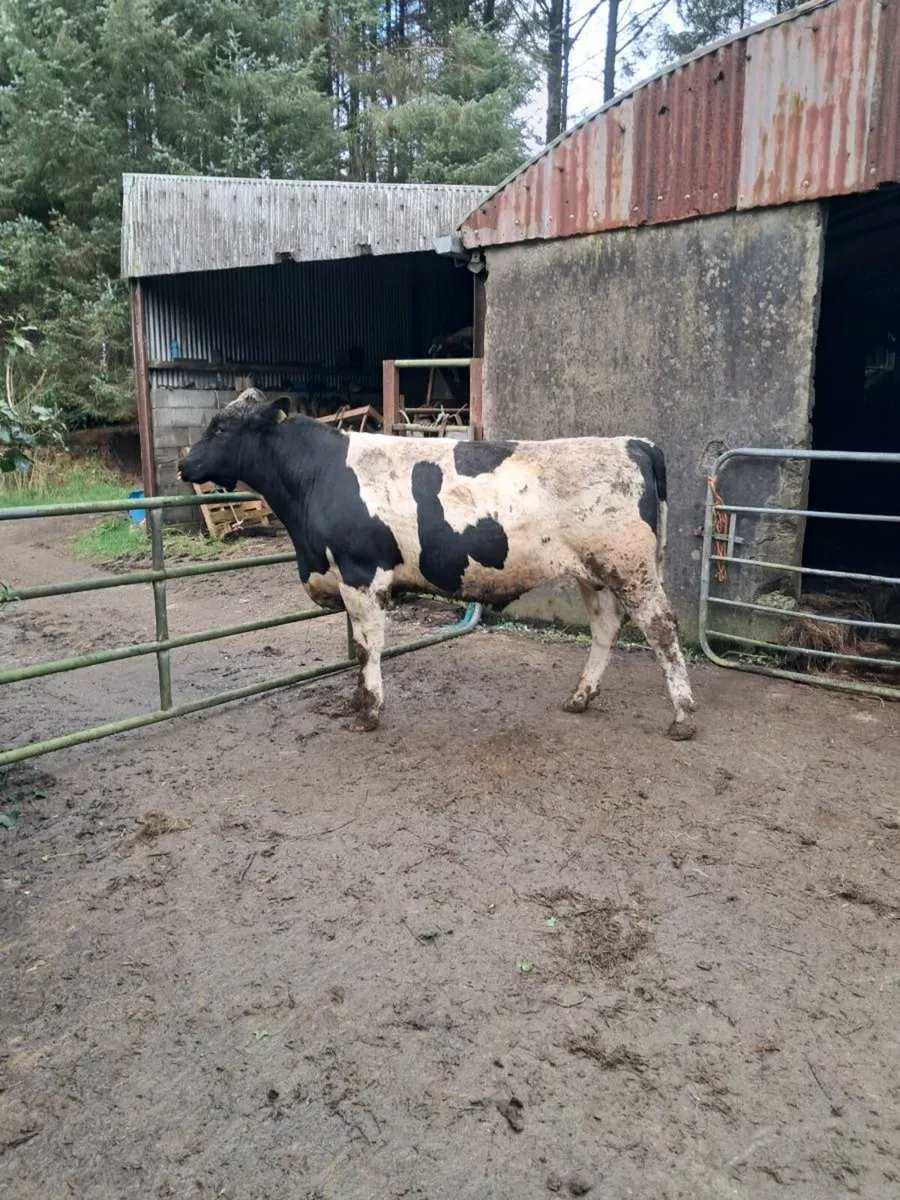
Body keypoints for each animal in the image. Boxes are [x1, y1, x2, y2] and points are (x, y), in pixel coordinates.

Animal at [178, 389, 696, 739]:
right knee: (606, 628)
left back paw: (683, 715)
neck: (317, 477)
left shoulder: (361, 574)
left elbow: (367, 647)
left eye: (220, 428)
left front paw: (368, 711)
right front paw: (357, 701)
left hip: (630, 568)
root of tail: (634, 442)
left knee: (662, 627)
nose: (183, 466)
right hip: (597, 573)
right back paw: (580, 697)